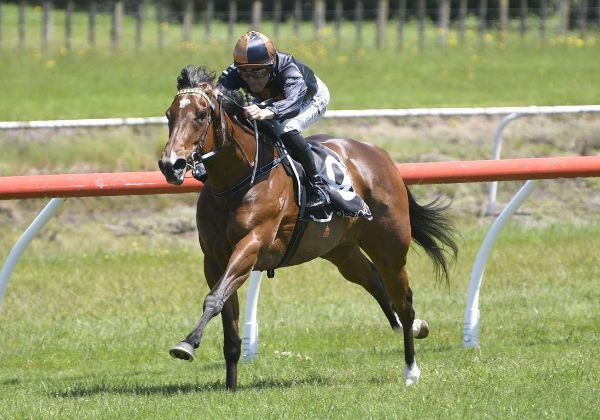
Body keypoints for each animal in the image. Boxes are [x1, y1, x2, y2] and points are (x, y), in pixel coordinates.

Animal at [157, 65, 458, 390]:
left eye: (201, 115)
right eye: (169, 114)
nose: (171, 164)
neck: (238, 178)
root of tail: (381, 155)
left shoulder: (251, 245)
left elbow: (213, 298)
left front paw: (186, 344)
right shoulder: (214, 260)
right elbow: (226, 317)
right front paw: (230, 387)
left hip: (390, 246)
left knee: (404, 299)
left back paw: (411, 368)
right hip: (341, 250)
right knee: (375, 282)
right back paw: (413, 327)